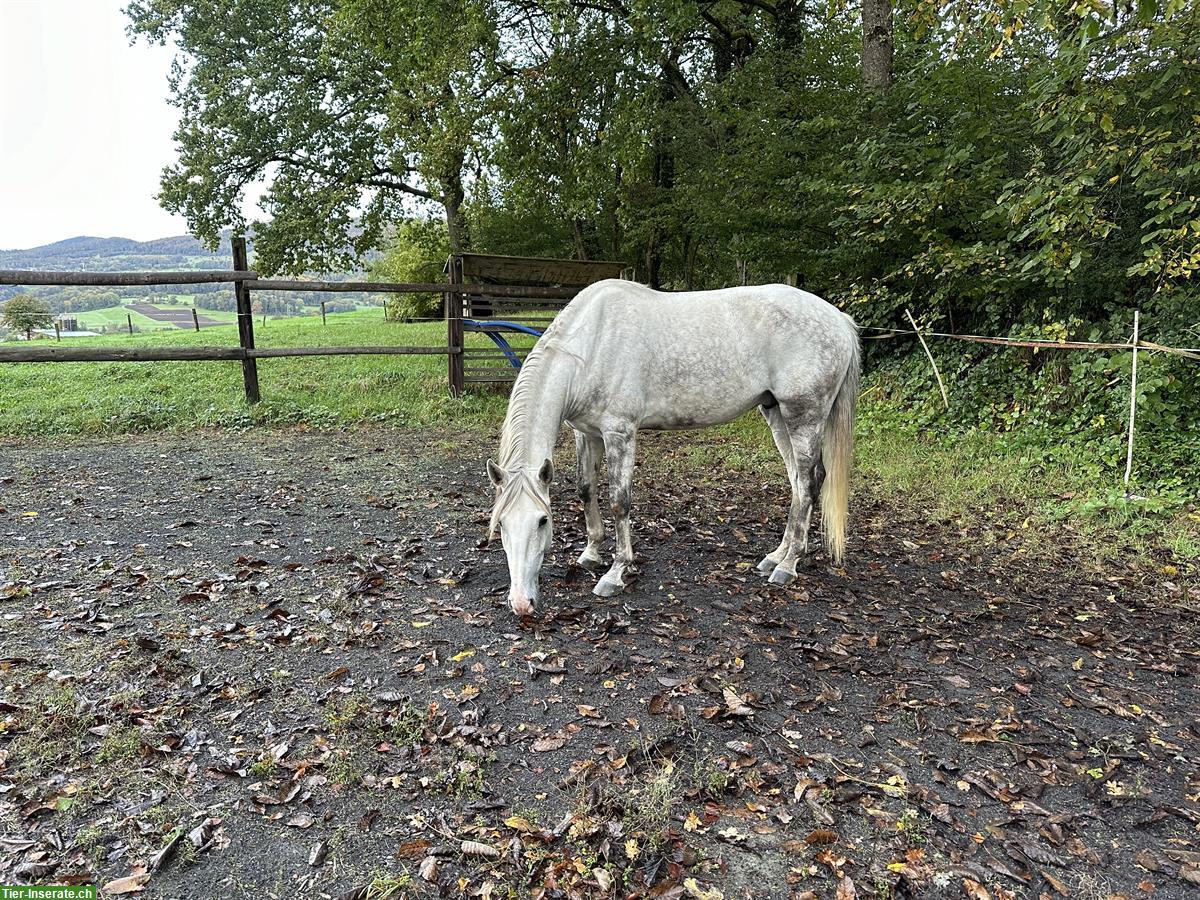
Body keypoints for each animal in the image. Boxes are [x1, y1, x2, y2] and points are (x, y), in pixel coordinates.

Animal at [487, 280, 864, 619]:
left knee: (809, 483)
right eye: (501, 524)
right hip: (776, 413)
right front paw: (591, 552)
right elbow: (586, 489)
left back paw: (788, 566)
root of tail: (839, 320)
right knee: (799, 484)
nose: (521, 604)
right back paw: (775, 556)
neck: (591, 346)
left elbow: (619, 503)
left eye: (542, 521)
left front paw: (616, 573)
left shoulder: (619, 433)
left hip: (803, 416)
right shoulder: (587, 433)